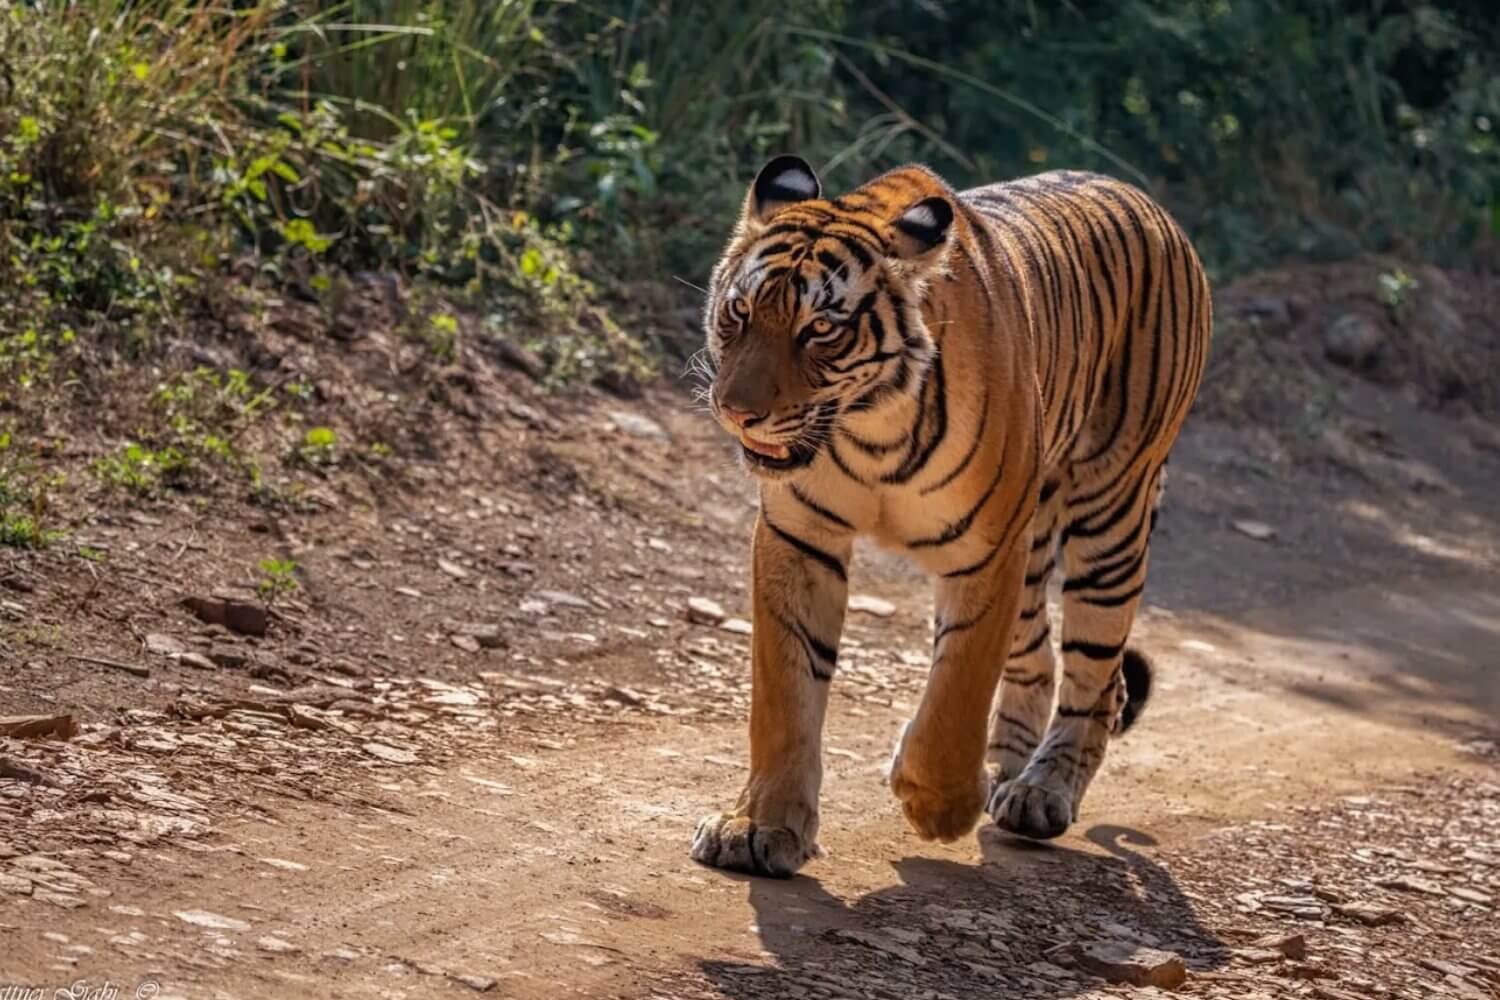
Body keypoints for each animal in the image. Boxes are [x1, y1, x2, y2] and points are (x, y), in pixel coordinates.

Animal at [687, 155, 1211, 878]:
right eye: (740, 311)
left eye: (820, 329)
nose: (737, 411)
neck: (869, 427)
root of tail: (1152, 206)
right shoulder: (802, 536)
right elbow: (785, 694)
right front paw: (758, 827)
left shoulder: (987, 553)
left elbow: (958, 688)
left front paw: (936, 805)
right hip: (1038, 544)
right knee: (1037, 660)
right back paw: (1004, 773)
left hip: (1110, 520)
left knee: (1095, 677)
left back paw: (1040, 793)